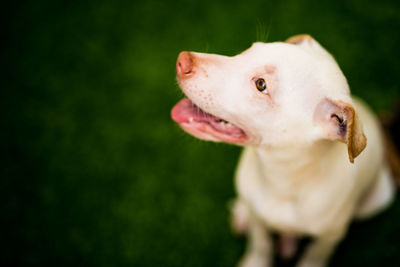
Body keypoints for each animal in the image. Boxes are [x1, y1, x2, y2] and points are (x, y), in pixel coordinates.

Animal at [170, 34, 396, 266]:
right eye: (248, 50)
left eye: (261, 85)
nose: (182, 61)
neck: (281, 177)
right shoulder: (258, 220)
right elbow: (261, 245)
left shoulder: (330, 236)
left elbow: (314, 255)